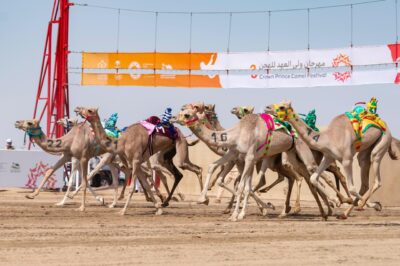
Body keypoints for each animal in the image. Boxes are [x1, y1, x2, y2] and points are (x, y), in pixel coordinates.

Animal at [268, 100, 398, 218]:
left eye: (282, 106)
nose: (267, 107)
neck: (328, 137)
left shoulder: (346, 159)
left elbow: (351, 188)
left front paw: (376, 205)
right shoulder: (328, 157)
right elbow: (314, 178)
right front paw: (335, 201)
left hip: (383, 141)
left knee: (376, 178)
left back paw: (366, 205)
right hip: (364, 153)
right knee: (364, 179)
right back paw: (345, 213)